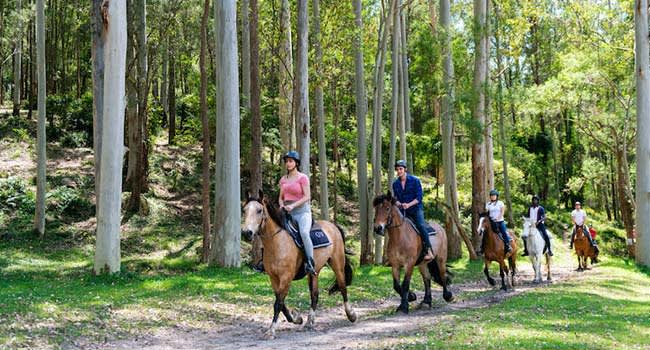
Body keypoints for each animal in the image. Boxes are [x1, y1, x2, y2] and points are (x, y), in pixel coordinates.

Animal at [242, 191, 356, 340]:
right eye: (244, 210)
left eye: (259, 210)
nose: (246, 233)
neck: (277, 242)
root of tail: (333, 226)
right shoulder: (273, 278)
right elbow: (281, 302)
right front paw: (297, 319)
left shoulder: (286, 277)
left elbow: (278, 303)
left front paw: (271, 330)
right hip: (314, 271)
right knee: (315, 294)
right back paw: (309, 322)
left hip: (337, 263)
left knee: (342, 287)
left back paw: (351, 315)